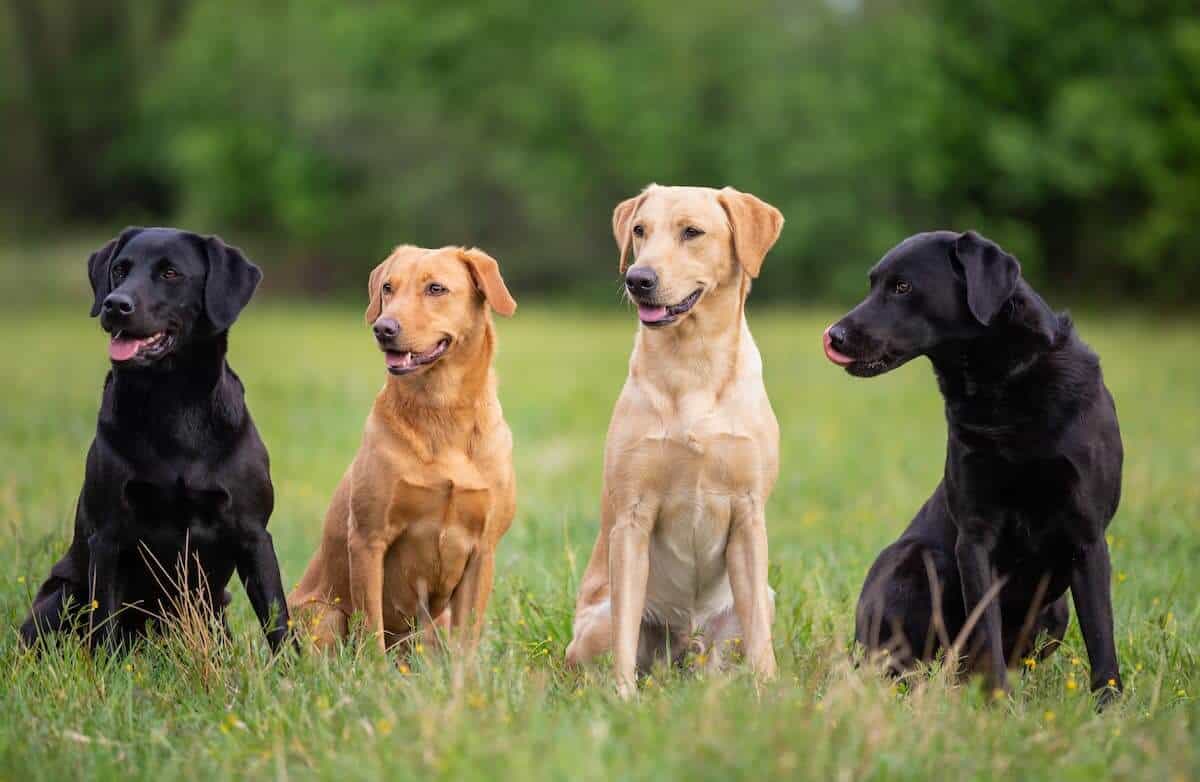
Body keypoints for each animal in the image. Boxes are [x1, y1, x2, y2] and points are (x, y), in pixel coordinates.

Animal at [22, 227, 289, 652]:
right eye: (119, 269)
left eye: (170, 273)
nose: (115, 304)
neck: (172, 404)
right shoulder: (109, 535)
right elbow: (104, 623)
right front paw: (107, 668)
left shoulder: (253, 533)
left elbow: (278, 619)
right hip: (61, 595)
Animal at [564, 184, 782, 695]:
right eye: (640, 231)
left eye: (692, 232)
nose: (638, 279)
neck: (693, 362)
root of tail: (685, 646)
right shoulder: (632, 519)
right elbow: (625, 634)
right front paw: (623, 698)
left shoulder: (748, 515)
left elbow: (760, 640)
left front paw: (768, 694)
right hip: (595, 623)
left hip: (760, 599)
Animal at [825, 232, 1123, 700]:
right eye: (872, 283)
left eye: (902, 287)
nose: (834, 336)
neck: (1002, 382)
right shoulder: (975, 535)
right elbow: (986, 630)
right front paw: (997, 702)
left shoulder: (1087, 535)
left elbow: (1101, 635)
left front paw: (1109, 707)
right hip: (914, 559)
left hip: (1055, 610)